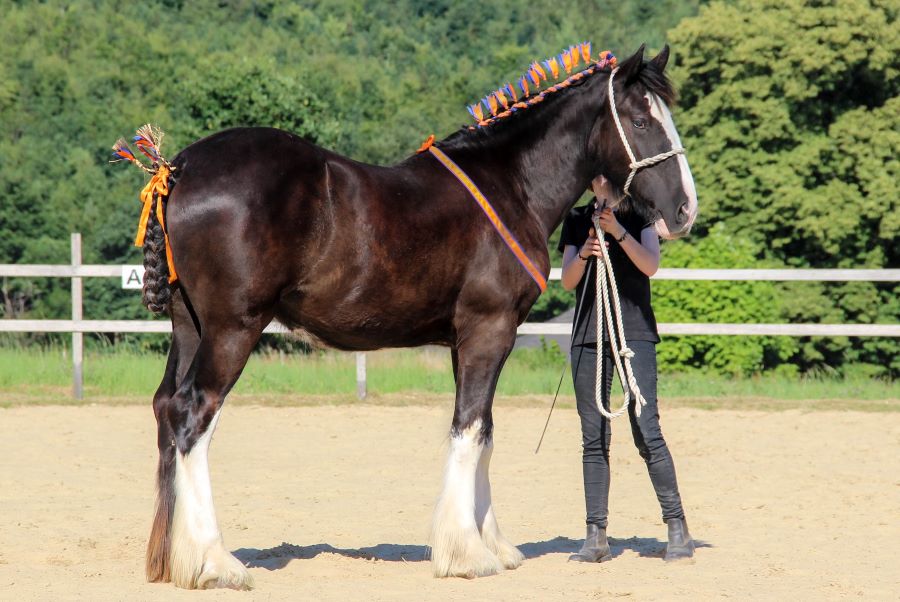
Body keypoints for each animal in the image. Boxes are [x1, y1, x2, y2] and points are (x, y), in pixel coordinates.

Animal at [129, 44, 697, 589]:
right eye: (641, 121)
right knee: (193, 415)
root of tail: (178, 171)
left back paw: (169, 560)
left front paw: (494, 546)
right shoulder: (489, 331)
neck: (512, 184)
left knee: (165, 408)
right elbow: (469, 430)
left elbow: (484, 432)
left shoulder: (468, 341)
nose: (685, 209)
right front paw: (468, 555)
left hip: (190, 328)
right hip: (233, 329)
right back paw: (214, 563)